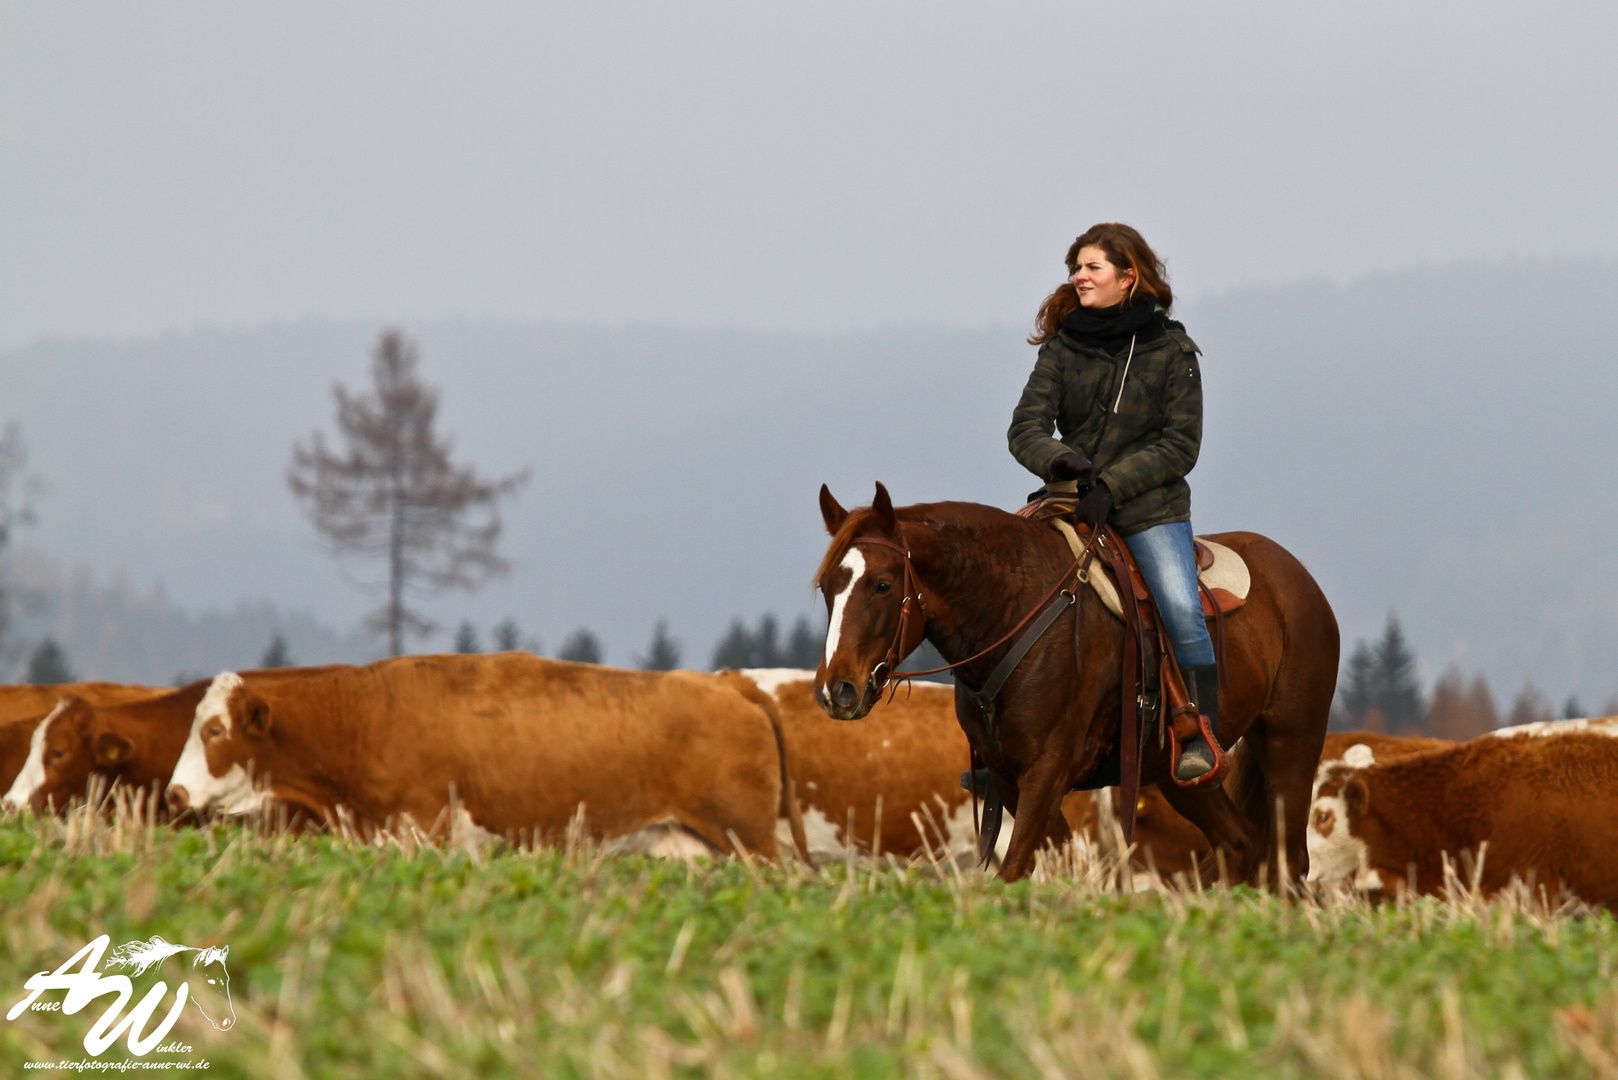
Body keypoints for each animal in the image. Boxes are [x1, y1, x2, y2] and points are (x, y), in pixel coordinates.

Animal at [164, 650, 809, 861]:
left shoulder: (421, 830)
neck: (362, 718)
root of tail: (731, 685)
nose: (173, 792)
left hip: (752, 843)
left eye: (215, 730)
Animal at [815, 482, 1333, 887]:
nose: (836, 690)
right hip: (1180, 777)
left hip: (1292, 746)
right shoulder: (1010, 778)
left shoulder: (1047, 770)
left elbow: (1015, 867)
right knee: (1237, 842)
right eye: (826, 588)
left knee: (1288, 864)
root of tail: (1299, 578)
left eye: (882, 584)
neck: (1016, 610)